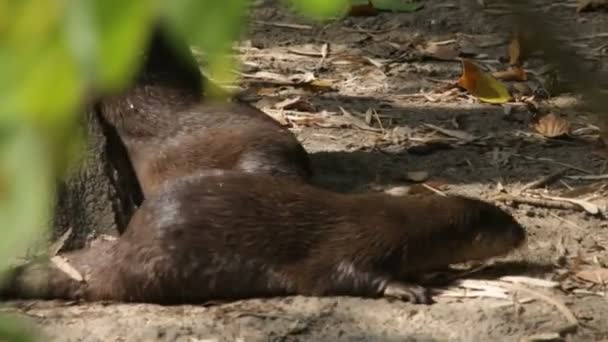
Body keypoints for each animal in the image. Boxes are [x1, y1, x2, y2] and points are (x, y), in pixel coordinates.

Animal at [1, 171, 528, 304]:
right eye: (501, 221)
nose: (523, 232)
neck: (401, 224)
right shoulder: (355, 241)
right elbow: (337, 275)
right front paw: (408, 287)